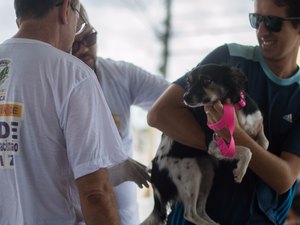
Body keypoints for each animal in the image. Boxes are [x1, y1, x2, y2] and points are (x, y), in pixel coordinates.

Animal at [141, 63, 270, 225]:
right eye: (188, 82)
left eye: (207, 80)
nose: (185, 97)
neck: (230, 106)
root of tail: (154, 171)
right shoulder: (214, 145)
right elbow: (247, 151)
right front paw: (240, 171)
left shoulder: (256, 123)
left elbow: (264, 142)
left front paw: (259, 153)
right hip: (190, 174)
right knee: (190, 213)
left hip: (207, 173)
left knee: (200, 210)